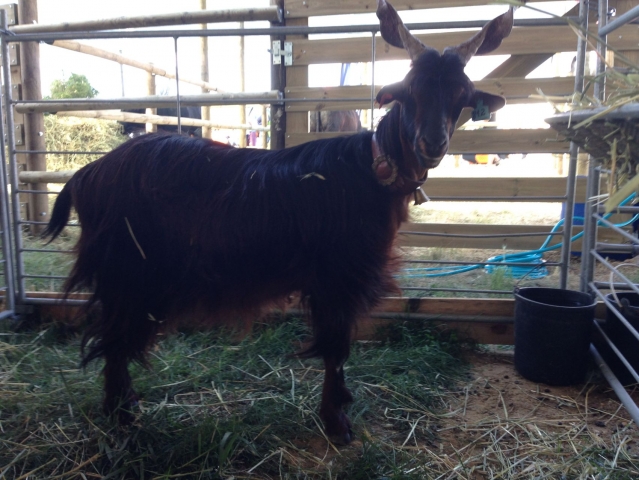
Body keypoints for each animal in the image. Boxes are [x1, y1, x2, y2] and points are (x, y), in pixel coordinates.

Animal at [43, 0, 516, 444]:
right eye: (409, 91)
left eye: (461, 96)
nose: (432, 143)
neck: (370, 167)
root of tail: (87, 173)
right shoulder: (337, 277)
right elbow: (335, 348)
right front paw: (337, 422)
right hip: (128, 271)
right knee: (112, 341)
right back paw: (121, 415)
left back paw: (126, 407)